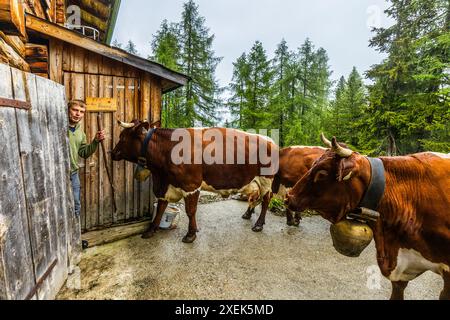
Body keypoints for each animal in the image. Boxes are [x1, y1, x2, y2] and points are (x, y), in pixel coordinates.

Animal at [110, 120, 278, 242]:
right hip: (253, 182)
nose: (112, 152)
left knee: (266, 200)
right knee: (255, 197)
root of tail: (270, 140)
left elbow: (190, 211)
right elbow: (161, 208)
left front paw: (191, 234)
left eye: (122, 137)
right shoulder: (164, 185)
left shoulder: (191, 185)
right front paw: (151, 230)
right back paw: (248, 214)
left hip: (266, 180)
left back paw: (258, 225)